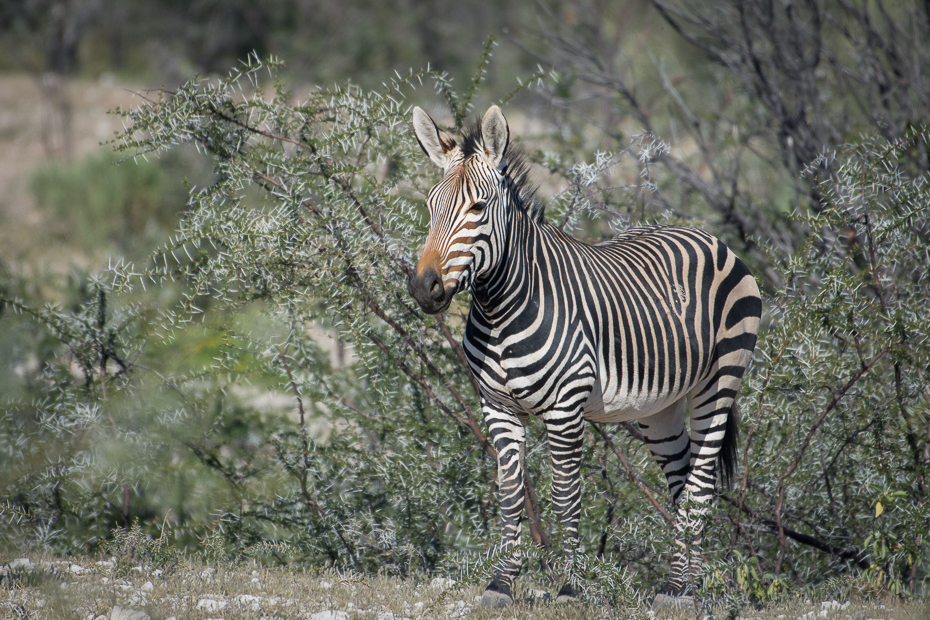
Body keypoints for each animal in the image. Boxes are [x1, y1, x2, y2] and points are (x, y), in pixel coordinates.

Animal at [408, 105, 760, 604]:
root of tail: (709, 237)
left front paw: (571, 586)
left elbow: (565, 496)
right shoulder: (496, 407)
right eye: (430, 206)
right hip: (662, 405)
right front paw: (501, 582)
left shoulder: (565, 408)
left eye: (477, 208)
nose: (424, 288)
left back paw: (681, 590)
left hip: (720, 382)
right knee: (683, 482)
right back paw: (682, 586)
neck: (500, 307)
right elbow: (511, 494)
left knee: (699, 487)